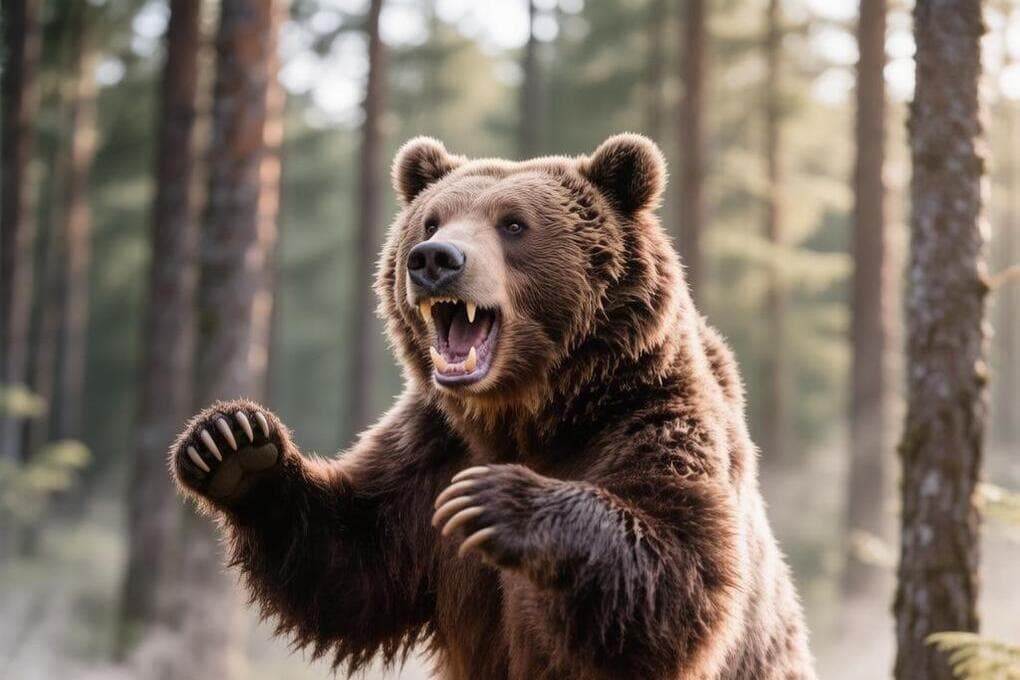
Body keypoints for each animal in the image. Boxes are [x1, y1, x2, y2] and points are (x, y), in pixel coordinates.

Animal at [170, 134, 817, 679]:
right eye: (431, 219)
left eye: (513, 224)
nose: (434, 259)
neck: (528, 410)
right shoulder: (430, 447)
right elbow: (351, 564)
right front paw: (233, 444)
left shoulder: (650, 413)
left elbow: (684, 579)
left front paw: (495, 500)